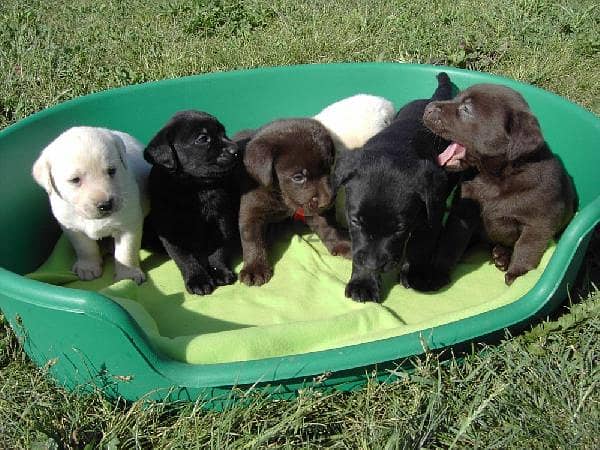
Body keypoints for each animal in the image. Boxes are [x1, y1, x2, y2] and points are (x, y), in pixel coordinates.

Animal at [32, 125, 152, 284]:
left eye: (111, 170)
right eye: (75, 180)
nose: (105, 205)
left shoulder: (128, 224)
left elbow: (126, 252)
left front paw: (128, 275)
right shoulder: (72, 227)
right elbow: (85, 248)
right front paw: (87, 267)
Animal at [144, 110, 240, 296]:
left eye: (223, 133)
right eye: (203, 138)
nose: (236, 150)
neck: (195, 187)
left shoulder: (222, 219)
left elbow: (219, 249)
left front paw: (219, 270)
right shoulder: (170, 231)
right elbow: (183, 257)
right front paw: (198, 279)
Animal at [332, 74, 454, 302]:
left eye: (399, 228)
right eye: (355, 221)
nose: (373, 264)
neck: (394, 146)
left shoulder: (433, 208)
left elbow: (421, 243)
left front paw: (414, 273)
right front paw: (363, 281)